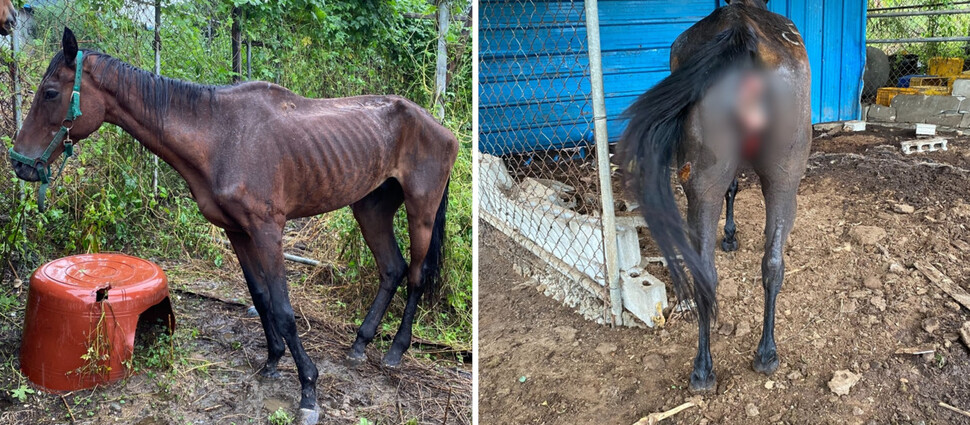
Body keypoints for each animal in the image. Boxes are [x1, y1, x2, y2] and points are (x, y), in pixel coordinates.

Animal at [10, 28, 458, 422]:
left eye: (50, 93)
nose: (19, 163)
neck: (220, 134)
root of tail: (441, 128)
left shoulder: (268, 231)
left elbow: (284, 309)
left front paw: (309, 390)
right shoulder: (237, 230)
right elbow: (261, 297)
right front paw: (273, 361)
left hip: (420, 211)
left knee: (416, 275)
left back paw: (395, 351)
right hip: (370, 208)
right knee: (392, 269)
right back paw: (360, 344)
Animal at [620, 0, 808, 390]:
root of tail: (742, 27)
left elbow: (733, 188)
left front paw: (730, 236)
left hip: (707, 181)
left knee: (710, 269)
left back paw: (705, 369)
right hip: (784, 175)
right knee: (771, 263)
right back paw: (764, 354)